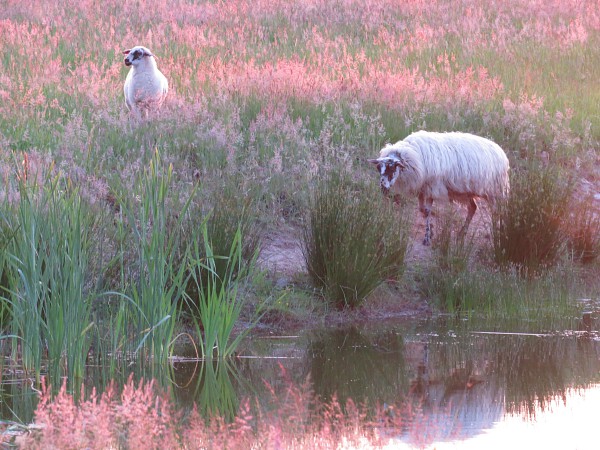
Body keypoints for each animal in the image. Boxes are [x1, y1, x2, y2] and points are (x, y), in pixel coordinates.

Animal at [368, 130, 508, 246]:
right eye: (379, 169)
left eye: (391, 168)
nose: (383, 189)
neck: (414, 156)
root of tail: (501, 152)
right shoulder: (423, 188)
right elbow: (422, 209)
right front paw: (432, 231)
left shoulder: (432, 187)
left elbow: (427, 211)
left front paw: (427, 237)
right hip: (468, 192)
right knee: (473, 208)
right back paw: (461, 234)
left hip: (494, 191)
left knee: (496, 212)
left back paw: (497, 235)